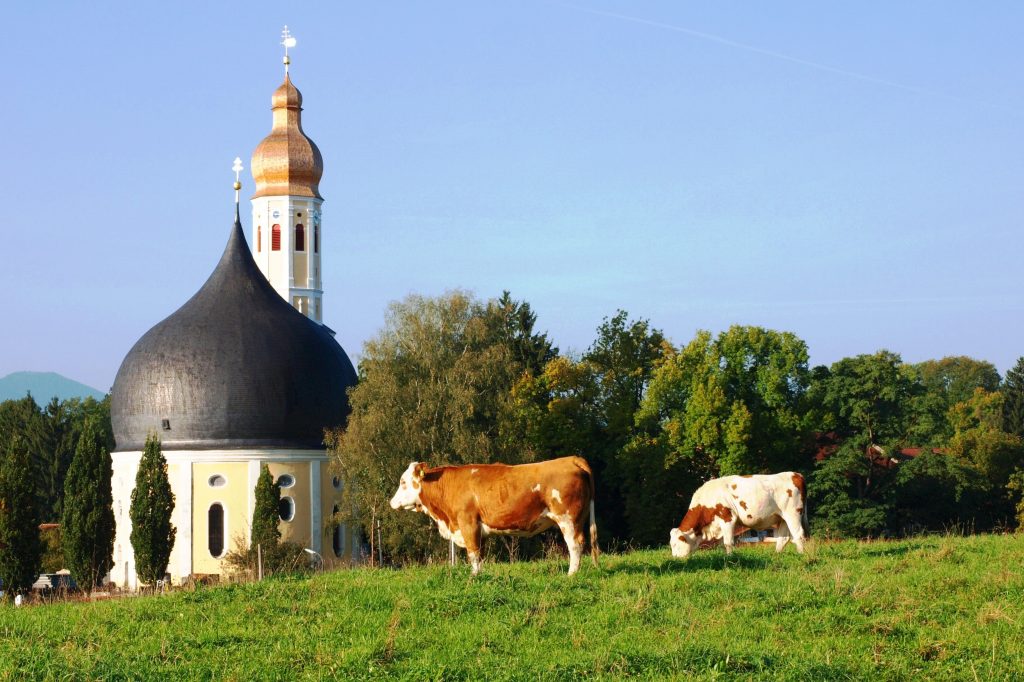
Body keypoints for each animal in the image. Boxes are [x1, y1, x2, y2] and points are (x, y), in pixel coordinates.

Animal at [389, 456, 598, 573]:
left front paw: (473, 577)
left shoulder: (468, 523)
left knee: (575, 545)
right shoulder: (480, 530)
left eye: (403, 482)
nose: (391, 502)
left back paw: (571, 574)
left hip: (568, 519)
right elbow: (480, 555)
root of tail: (571, 458)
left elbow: (473, 554)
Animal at [667, 471, 811, 557]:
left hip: (793, 513)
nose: (675, 559)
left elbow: (728, 542)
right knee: (783, 538)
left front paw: (730, 557)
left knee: (798, 535)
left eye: (675, 544)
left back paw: (801, 555)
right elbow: (723, 542)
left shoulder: (727, 518)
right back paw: (776, 555)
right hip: (782, 517)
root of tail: (795, 474)